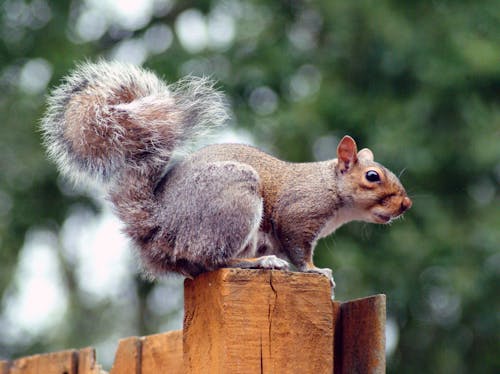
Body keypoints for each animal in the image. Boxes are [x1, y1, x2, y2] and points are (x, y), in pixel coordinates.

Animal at [41, 62, 412, 290]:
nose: (406, 204)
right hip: (235, 200)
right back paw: (259, 263)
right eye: (373, 176)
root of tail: (159, 226)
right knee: (214, 260)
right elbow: (298, 251)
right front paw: (315, 271)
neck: (330, 186)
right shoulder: (299, 214)